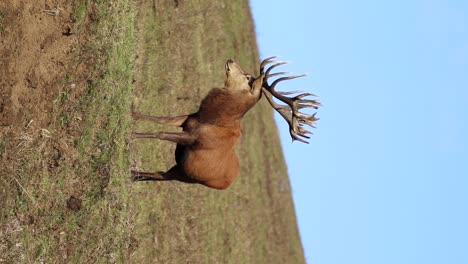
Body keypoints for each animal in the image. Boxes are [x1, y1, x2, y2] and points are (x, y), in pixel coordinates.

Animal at [132, 57, 322, 190]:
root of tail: (229, 182)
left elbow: (161, 133)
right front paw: (133, 114)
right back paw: (132, 175)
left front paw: (131, 134)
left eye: (247, 77)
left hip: (186, 175)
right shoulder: (189, 119)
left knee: (160, 175)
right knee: (159, 174)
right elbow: (162, 119)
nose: (231, 60)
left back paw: (132, 175)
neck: (213, 118)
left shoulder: (195, 138)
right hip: (181, 169)